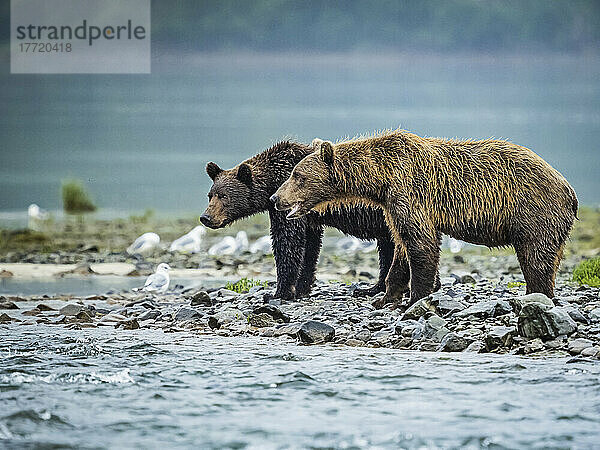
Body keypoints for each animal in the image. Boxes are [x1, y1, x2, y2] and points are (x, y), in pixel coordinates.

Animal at [272, 130, 576, 306]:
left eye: (296, 175)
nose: (276, 198)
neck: (380, 178)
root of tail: (569, 189)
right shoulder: (391, 205)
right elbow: (401, 246)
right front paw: (387, 297)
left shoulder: (409, 191)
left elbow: (420, 243)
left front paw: (415, 297)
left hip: (535, 212)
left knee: (536, 259)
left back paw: (537, 295)